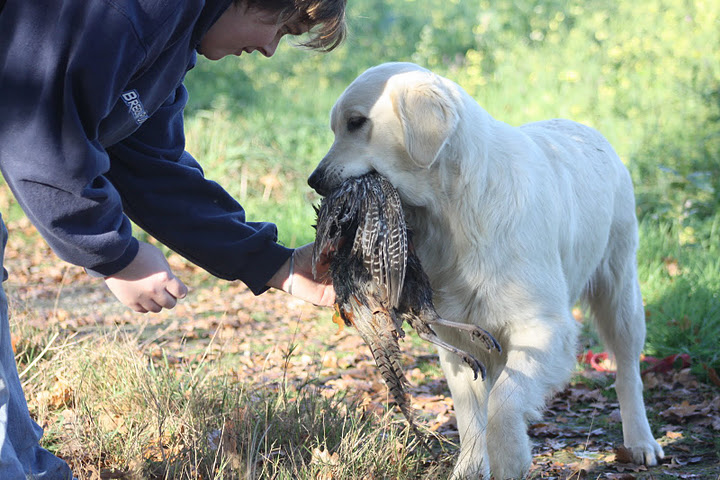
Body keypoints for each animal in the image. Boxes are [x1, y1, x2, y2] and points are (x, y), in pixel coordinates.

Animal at [306, 63, 668, 480]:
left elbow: (505, 401)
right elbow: (470, 412)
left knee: (627, 370)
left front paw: (510, 456)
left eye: (356, 122)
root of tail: (587, 128)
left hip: (619, 291)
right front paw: (470, 466)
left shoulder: (545, 327)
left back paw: (641, 441)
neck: (454, 212)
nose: (313, 180)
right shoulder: (453, 333)